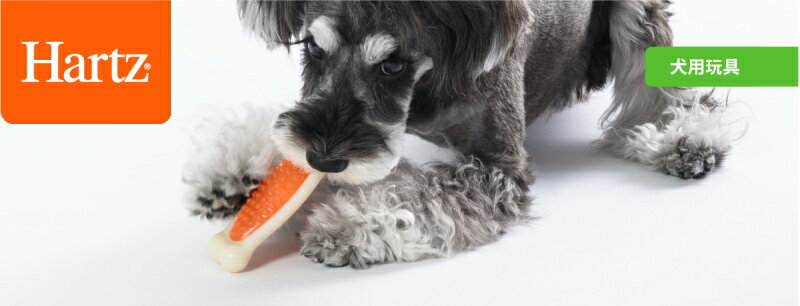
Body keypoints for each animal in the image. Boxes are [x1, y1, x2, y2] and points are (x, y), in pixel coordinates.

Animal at [183, 0, 736, 268]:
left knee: (661, 87)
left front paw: (345, 226)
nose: (322, 160)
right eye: (312, 49)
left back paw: (688, 138)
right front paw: (233, 174)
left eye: (393, 63)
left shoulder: (499, 166)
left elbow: (419, 194)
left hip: (635, 17)